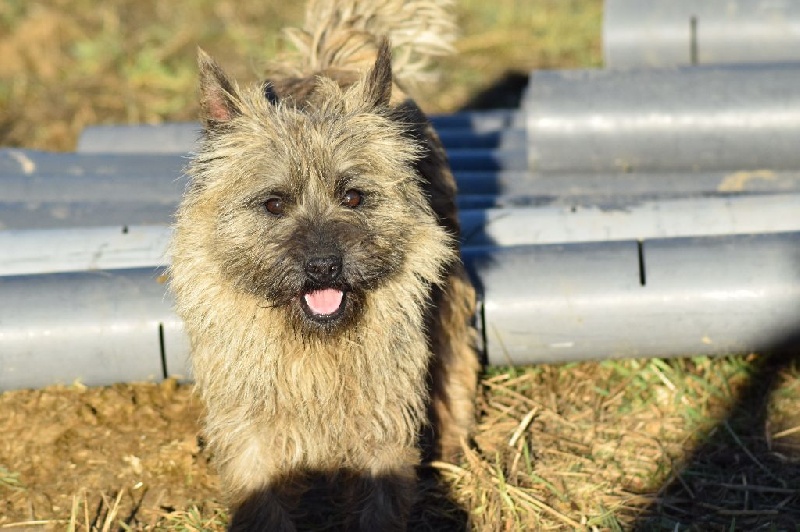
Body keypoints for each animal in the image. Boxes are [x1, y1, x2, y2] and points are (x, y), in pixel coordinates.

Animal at [170, 1, 478, 528]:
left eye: (353, 196)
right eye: (273, 203)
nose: (323, 267)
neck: (314, 349)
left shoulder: (383, 417)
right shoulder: (249, 431)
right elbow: (263, 500)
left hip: (447, 298)